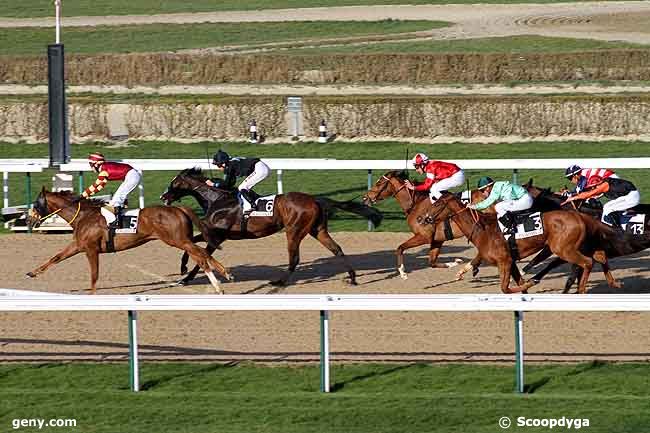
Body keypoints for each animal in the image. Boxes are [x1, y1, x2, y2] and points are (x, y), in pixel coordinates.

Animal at [26, 187, 233, 292]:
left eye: (36, 203)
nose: (28, 219)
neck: (84, 216)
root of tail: (178, 208)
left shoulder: (91, 249)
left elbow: (94, 274)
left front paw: (92, 293)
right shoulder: (78, 245)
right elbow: (56, 257)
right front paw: (32, 273)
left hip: (177, 240)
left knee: (201, 254)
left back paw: (219, 281)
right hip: (182, 239)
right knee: (202, 252)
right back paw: (223, 275)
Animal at [160, 169, 382, 286]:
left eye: (175, 182)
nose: (163, 196)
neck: (217, 199)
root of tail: (315, 200)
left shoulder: (217, 236)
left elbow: (199, 253)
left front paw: (185, 276)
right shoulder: (214, 234)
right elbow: (191, 244)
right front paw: (183, 269)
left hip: (294, 231)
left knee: (295, 258)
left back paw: (280, 282)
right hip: (317, 230)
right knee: (337, 249)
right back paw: (352, 277)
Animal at [426, 192, 604, 294]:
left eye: (438, 204)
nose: (425, 218)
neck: (481, 229)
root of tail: (580, 217)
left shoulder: (504, 261)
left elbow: (505, 288)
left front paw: (530, 282)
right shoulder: (511, 262)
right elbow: (518, 283)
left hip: (563, 249)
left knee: (587, 262)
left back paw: (581, 289)